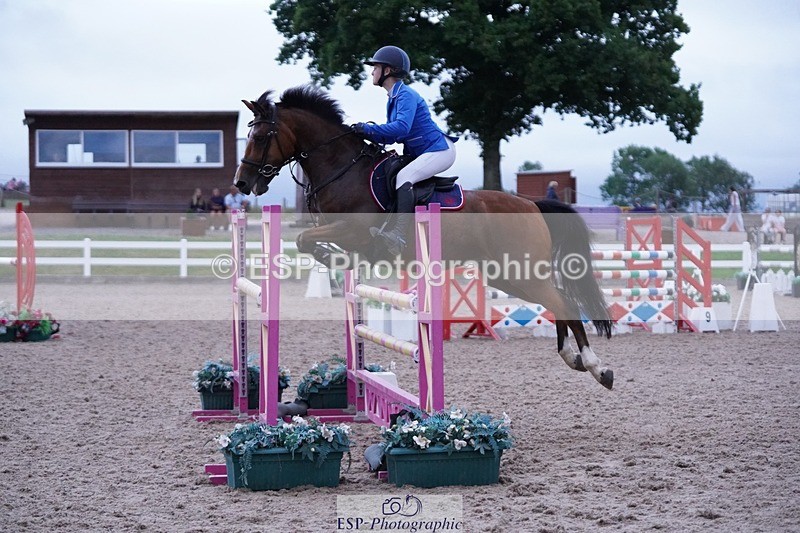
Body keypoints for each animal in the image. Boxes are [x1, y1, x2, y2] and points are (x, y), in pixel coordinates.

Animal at [234, 85, 614, 390]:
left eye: (261, 137)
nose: (242, 183)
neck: (342, 169)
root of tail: (531, 204)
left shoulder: (351, 229)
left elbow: (305, 240)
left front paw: (331, 258)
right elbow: (308, 242)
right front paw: (337, 261)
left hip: (520, 271)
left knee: (564, 302)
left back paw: (597, 366)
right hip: (506, 275)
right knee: (558, 301)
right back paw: (574, 358)